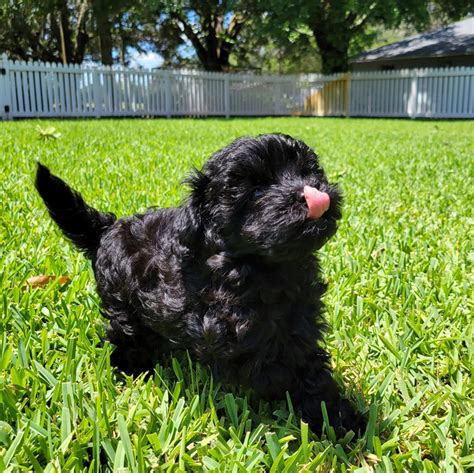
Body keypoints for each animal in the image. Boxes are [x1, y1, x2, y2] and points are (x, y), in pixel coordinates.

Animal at [36, 135, 362, 434]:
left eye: (309, 171)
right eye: (256, 190)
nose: (313, 193)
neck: (267, 266)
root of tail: (107, 228)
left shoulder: (300, 319)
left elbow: (305, 358)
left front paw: (336, 415)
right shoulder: (230, 332)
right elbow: (280, 365)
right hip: (122, 304)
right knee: (124, 334)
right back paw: (132, 368)